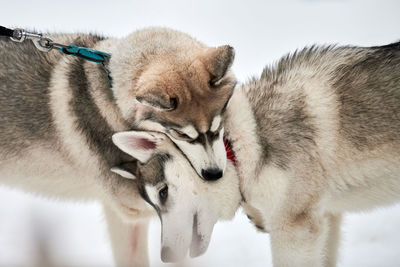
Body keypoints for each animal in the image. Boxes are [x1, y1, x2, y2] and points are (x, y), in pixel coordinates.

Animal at [135, 42, 400, 266]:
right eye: (151, 203)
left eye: (162, 192)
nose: (166, 255)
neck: (242, 143)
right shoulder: (325, 218)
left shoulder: (295, 229)